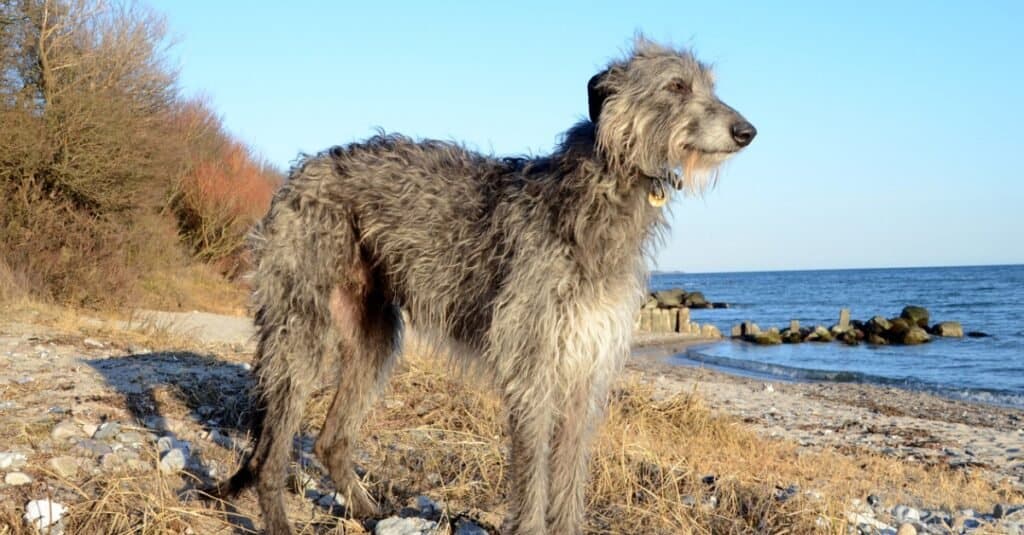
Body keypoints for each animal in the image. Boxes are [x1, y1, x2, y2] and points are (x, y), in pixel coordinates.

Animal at [216, 38, 757, 532]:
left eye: (710, 86)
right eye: (676, 86)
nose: (747, 131)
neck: (595, 194)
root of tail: (300, 172)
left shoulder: (585, 366)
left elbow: (569, 472)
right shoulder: (533, 364)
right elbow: (533, 474)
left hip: (372, 336)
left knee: (329, 439)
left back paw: (369, 509)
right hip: (301, 324)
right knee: (269, 456)